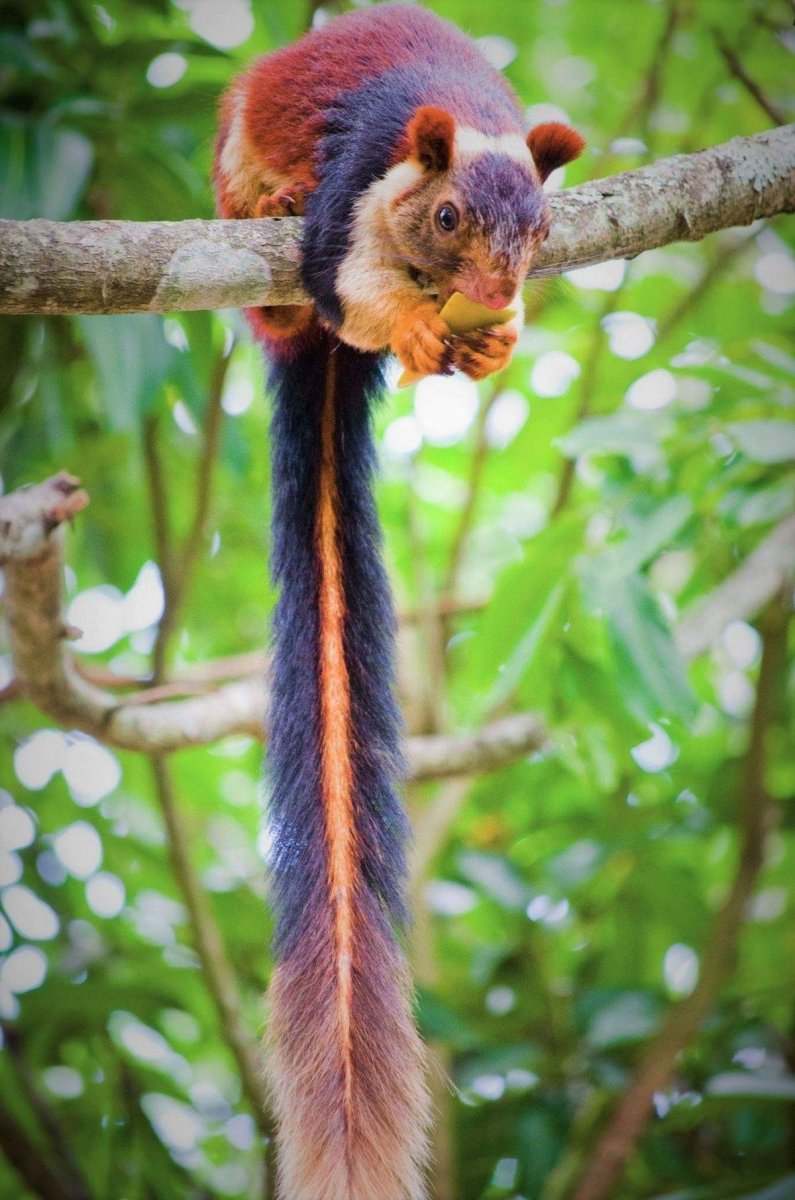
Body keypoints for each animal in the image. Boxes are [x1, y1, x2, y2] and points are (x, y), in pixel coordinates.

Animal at [214, 5, 583, 1198]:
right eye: (450, 214)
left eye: (542, 230)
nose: (497, 293)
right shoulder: (355, 195)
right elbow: (349, 288)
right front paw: (419, 332)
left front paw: (499, 340)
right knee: (288, 292)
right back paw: (266, 218)